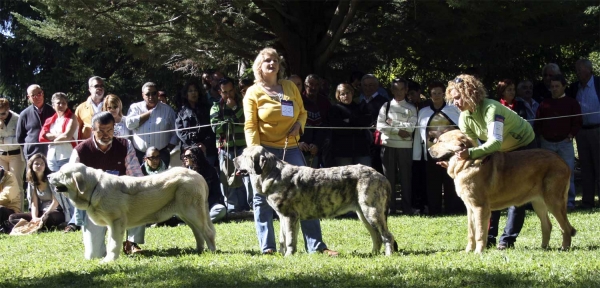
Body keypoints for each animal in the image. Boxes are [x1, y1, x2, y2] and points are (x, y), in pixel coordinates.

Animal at [47, 163, 216, 262]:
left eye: (61, 173)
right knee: (198, 232)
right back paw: (199, 250)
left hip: (192, 211)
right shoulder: (111, 224)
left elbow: (113, 243)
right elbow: (111, 242)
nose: (48, 175)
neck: (94, 187)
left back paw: (212, 251)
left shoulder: (116, 222)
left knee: (207, 232)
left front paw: (109, 261)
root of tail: (198, 176)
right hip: (186, 214)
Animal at [234, 146, 398, 256]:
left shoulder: (289, 216)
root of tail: (380, 175)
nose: (234, 159)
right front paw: (283, 254)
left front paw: (288, 255)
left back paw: (388, 255)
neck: (273, 174)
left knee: (387, 236)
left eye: (244, 155)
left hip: (372, 211)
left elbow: (290, 239)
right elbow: (283, 238)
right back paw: (373, 254)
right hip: (363, 214)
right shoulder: (283, 217)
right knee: (376, 236)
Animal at [428, 129, 576, 253]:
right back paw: (543, 247)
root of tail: (562, 161)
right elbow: (471, 232)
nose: (428, 150)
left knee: (565, 228)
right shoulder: (470, 208)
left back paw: (564, 248)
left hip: (554, 201)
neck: (467, 163)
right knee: (547, 225)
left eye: (440, 141)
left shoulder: (480, 207)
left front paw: (478, 252)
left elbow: (480, 233)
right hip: (538, 203)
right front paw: (468, 251)